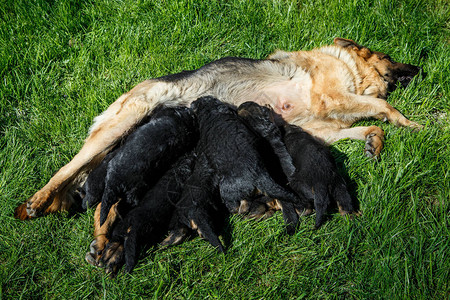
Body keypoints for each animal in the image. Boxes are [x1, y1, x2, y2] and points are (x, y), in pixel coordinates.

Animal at [14, 37, 422, 220]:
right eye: (389, 58)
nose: (419, 68)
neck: (350, 68)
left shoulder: (317, 125)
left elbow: (361, 128)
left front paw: (374, 139)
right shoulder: (331, 99)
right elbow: (384, 106)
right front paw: (413, 123)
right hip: (121, 125)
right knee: (66, 169)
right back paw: (37, 201)